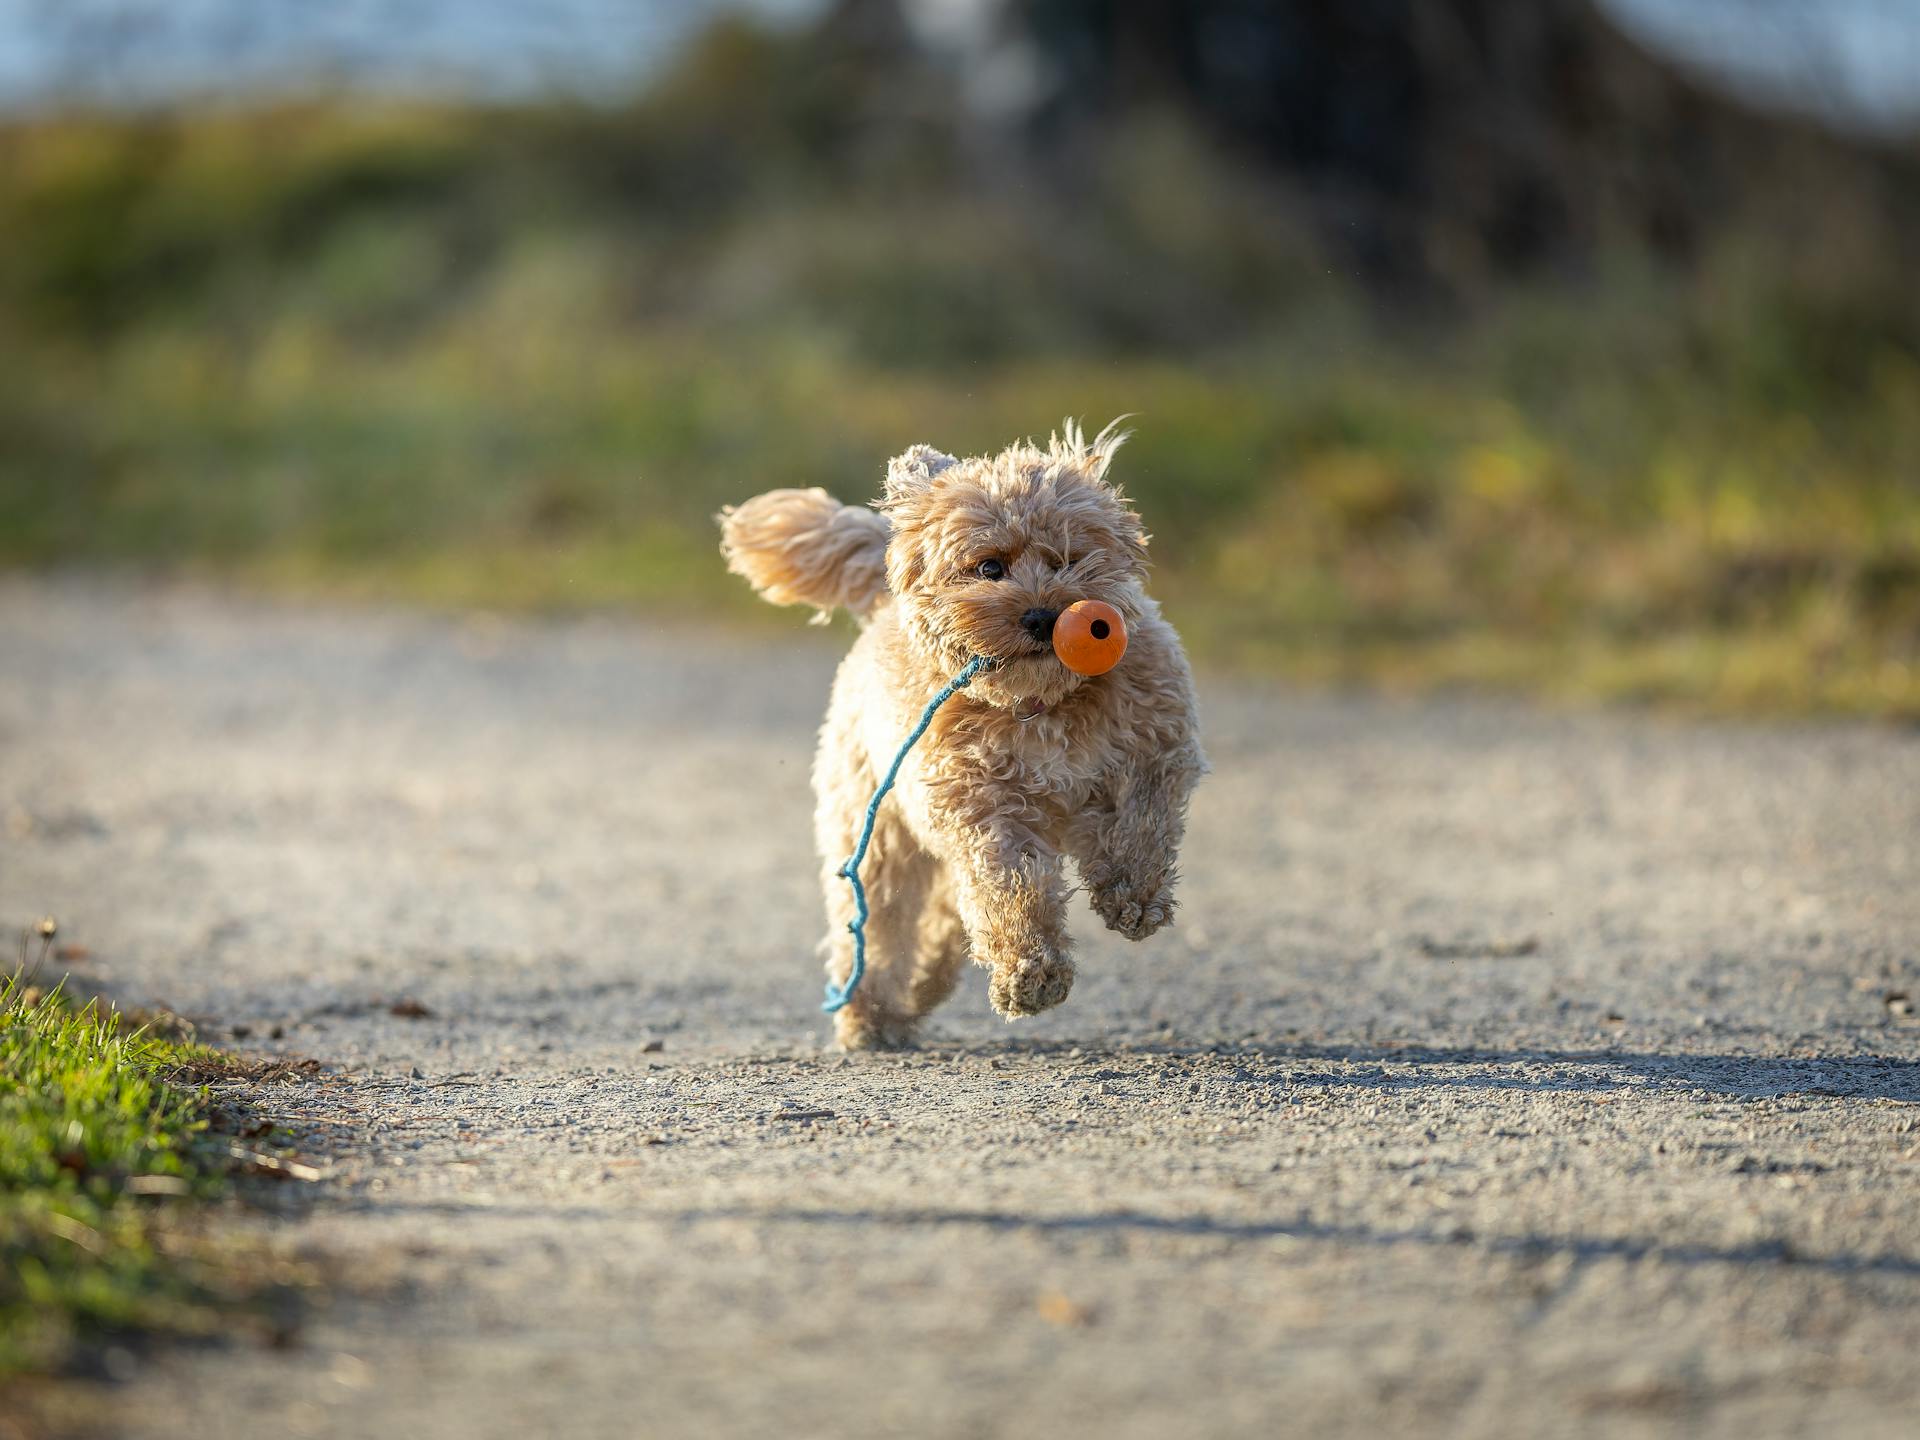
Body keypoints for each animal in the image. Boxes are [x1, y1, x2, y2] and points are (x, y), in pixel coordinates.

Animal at [721, 420, 1198, 1052]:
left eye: (1068, 559)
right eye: (990, 567)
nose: (1044, 616)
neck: (1037, 705)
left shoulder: (1156, 749)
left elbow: (1145, 820)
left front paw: (1134, 896)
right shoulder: (983, 812)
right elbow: (1010, 889)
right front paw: (1030, 973)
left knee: (944, 919)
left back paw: (919, 989)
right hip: (876, 835)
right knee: (884, 925)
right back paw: (871, 1015)